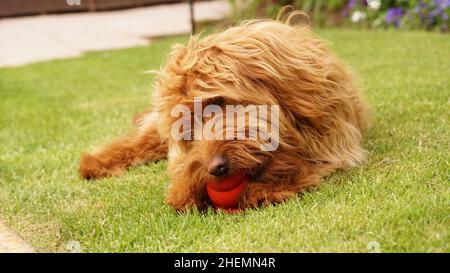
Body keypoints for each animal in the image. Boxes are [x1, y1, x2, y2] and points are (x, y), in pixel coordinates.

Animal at [80, 10, 370, 210]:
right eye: (187, 130)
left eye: (217, 102)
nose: (216, 169)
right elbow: (182, 177)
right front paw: (186, 190)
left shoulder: (334, 137)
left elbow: (309, 164)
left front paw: (264, 190)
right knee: (136, 141)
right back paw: (93, 163)